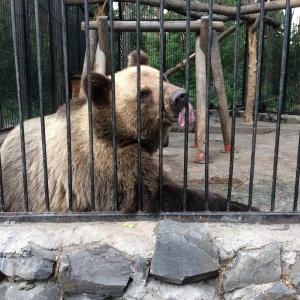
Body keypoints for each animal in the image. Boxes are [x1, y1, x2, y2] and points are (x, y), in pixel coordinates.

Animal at [0, 50, 254, 212]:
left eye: (162, 76)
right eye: (143, 93)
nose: (180, 96)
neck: (118, 133)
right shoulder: (105, 166)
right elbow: (157, 193)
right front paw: (241, 205)